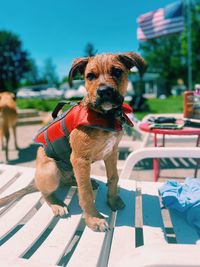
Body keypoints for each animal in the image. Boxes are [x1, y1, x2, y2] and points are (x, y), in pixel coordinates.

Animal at [0, 52, 145, 232]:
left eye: (117, 72)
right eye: (90, 76)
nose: (104, 91)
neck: (105, 115)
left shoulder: (111, 153)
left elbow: (113, 178)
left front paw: (113, 200)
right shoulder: (80, 159)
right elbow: (85, 193)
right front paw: (93, 219)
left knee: (73, 181)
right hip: (51, 170)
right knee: (46, 192)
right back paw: (57, 205)